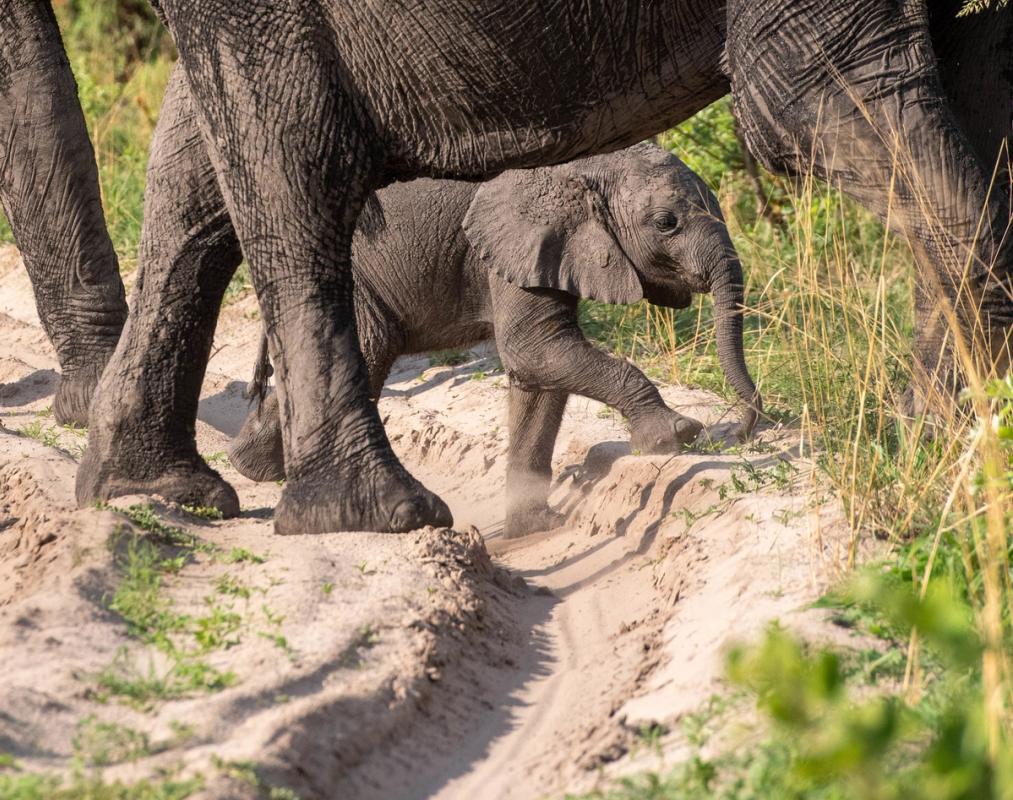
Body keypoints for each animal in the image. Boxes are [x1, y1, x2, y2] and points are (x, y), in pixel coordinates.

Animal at [231, 145, 761, 538]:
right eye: (667, 223)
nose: (742, 432)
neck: (584, 166)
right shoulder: (510, 245)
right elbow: (536, 350)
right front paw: (676, 435)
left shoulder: (544, 253)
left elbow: (538, 376)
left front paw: (538, 526)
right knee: (365, 352)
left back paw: (255, 466)